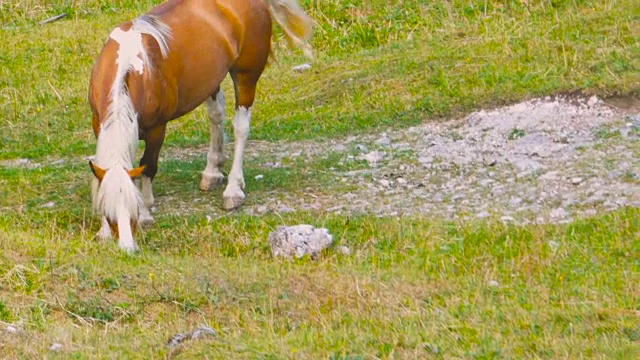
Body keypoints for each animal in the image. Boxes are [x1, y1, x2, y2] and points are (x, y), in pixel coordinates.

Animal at [87, 0, 312, 252]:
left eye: (133, 212)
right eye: (109, 214)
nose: (128, 248)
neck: (131, 68)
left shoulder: (157, 130)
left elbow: (148, 166)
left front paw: (146, 212)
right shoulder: (99, 124)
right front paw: (103, 231)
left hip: (246, 75)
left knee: (241, 127)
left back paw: (233, 190)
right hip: (212, 79)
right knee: (216, 115)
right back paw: (212, 171)